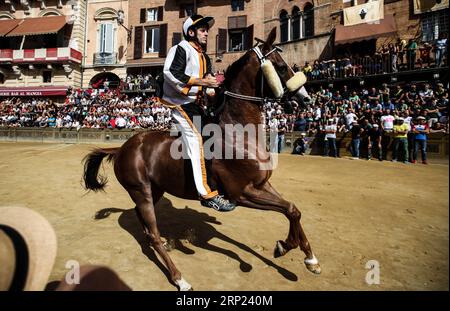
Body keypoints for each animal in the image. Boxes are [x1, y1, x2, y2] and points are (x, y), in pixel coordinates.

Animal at [83, 28, 320, 292]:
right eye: (280, 66)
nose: (306, 99)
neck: (238, 133)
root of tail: (123, 148)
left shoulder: (262, 185)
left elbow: (293, 210)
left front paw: (306, 256)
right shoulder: (243, 193)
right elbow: (288, 209)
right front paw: (289, 248)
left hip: (154, 191)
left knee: (144, 223)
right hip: (141, 191)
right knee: (151, 232)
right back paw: (179, 278)